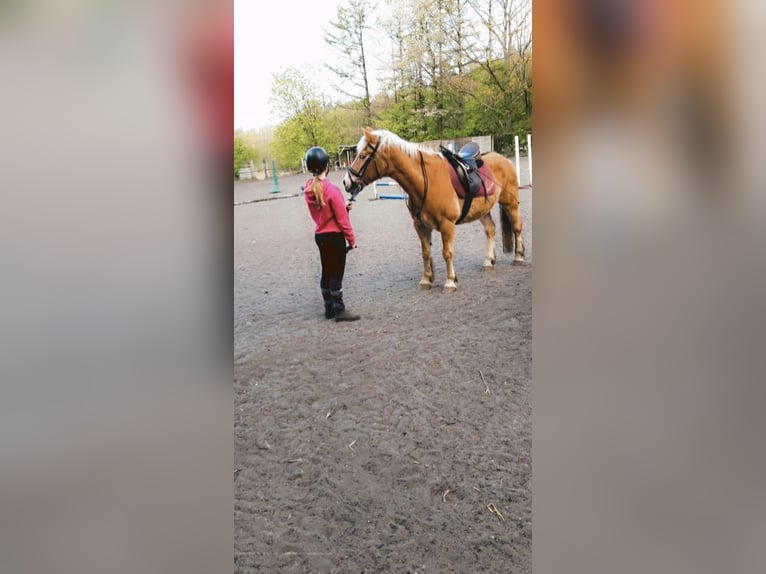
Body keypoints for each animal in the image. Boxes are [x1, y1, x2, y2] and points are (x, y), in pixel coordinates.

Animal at [342, 128, 525, 293]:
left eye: (362, 156)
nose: (346, 182)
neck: (426, 180)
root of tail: (503, 159)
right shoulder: (420, 225)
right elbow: (425, 252)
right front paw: (426, 280)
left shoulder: (447, 225)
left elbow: (447, 253)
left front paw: (450, 282)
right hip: (483, 210)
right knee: (490, 230)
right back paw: (488, 261)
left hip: (510, 203)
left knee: (517, 227)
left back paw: (519, 257)